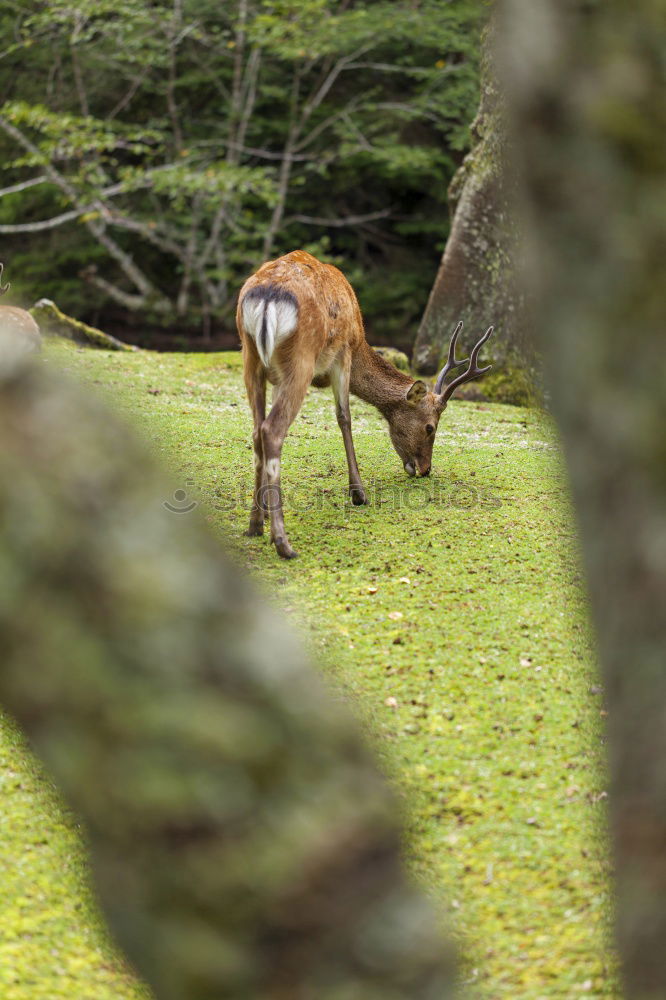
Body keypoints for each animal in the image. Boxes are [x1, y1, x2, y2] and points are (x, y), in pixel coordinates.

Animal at [236, 250, 490, 560]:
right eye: (430, 427)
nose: (425, 469)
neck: (360, 341)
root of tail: (268, 296)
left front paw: (260, 517)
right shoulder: (343, 353)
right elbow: (344, 418)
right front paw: (359, 493)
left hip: (250, 358)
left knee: (257, 430)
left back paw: (255, 525)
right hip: (301, 359)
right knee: (272, 429)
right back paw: (283, 543)